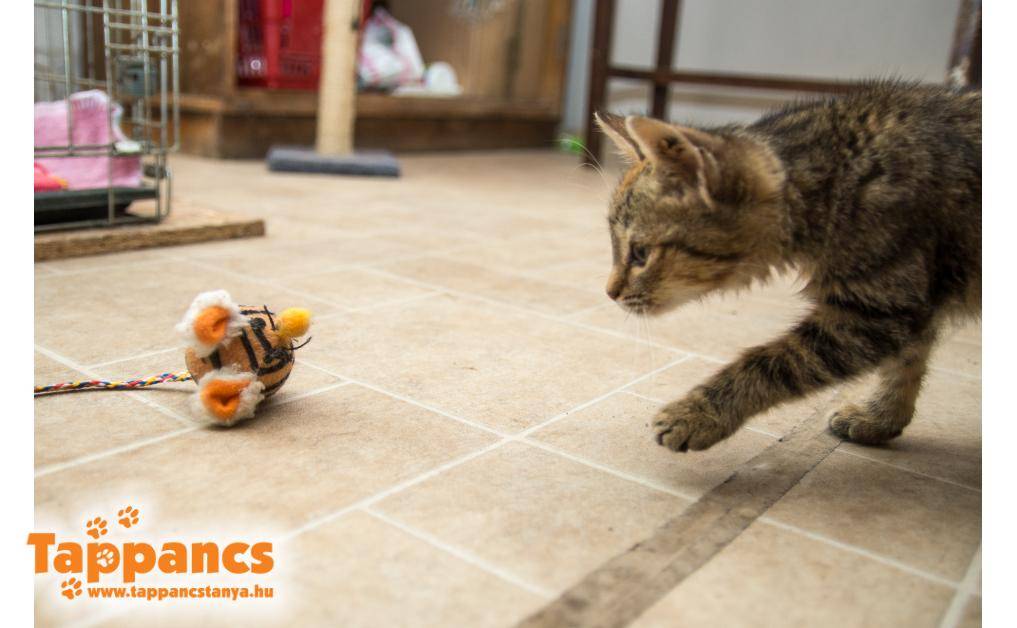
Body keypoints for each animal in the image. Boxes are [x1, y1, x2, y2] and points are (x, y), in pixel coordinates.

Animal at [596, 81, 980, 452]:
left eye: (641, 254)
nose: (609, 292)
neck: (835, 182)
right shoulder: (912, 303)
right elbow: (906, 363)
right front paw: (881, 418)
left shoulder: (876, 312)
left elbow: (772, 362)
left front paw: (700, 413)